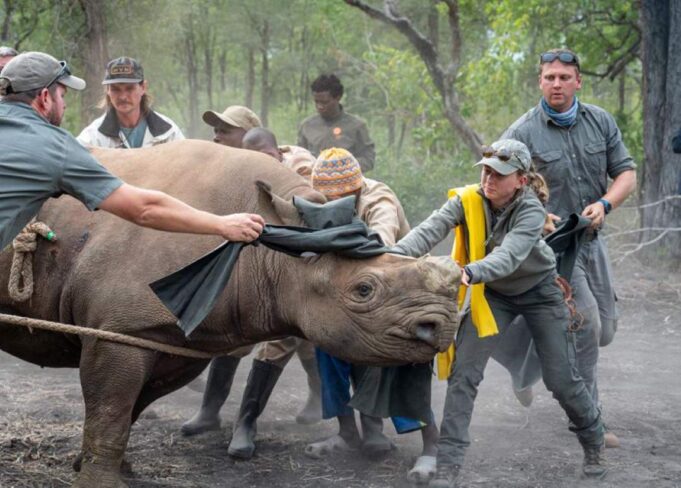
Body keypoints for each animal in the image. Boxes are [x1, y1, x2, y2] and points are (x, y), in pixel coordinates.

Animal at [0, 140, 460, 488]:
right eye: (364, 290)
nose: (441, 326)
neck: (271, 254)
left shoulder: (169, 337)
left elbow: (130, 409)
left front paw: (114, 469)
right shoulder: (117, 330)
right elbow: (111, 412)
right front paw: (99, 480)